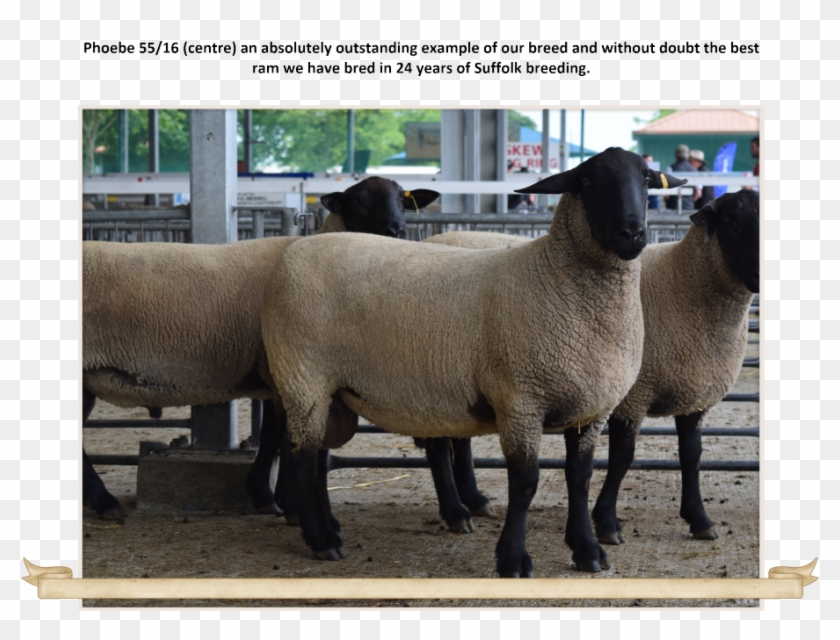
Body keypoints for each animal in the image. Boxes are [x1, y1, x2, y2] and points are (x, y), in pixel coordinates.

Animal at [82, 176, 440, 519]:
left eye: (403, 199)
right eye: (357, 201)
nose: (396, 230)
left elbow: (272, 436)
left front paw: (267, 496)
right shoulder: (280, 370)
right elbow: (279, 436)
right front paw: (284, 502)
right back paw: (105, 502)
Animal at [259, 147, 686, 575]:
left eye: (647, 179)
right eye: (587, 181)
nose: (632, 234)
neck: (555, 276)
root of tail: (295, 251)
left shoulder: (591, 408)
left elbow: (579, 478)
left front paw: (587, 550)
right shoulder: (520, 401)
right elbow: (525, 482)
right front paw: (513, 558)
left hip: (329, 391)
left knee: (315, 455)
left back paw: (331, 527)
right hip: (303, 377)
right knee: (300, 456)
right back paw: (322, 540)